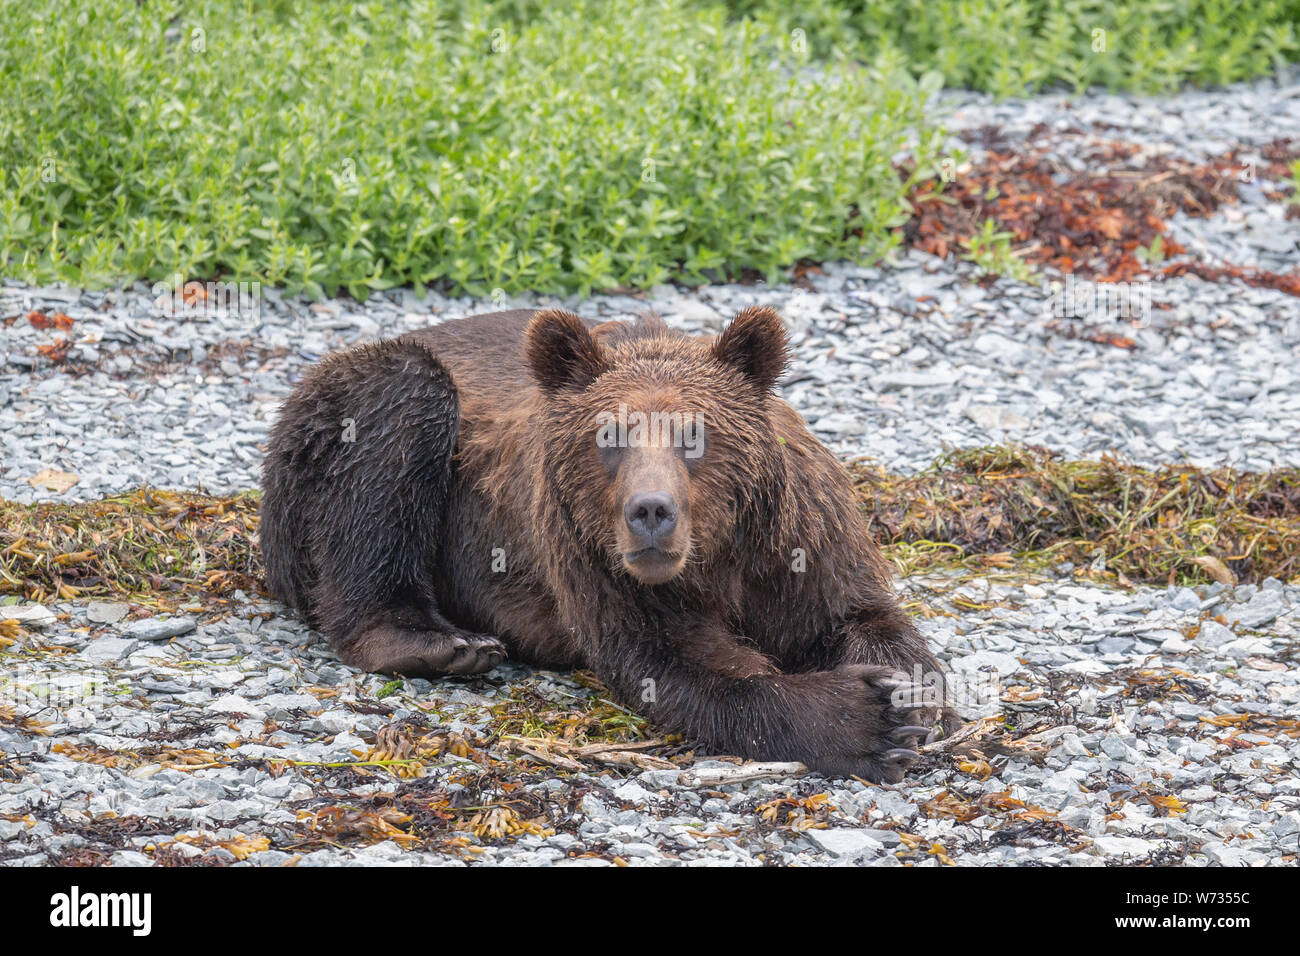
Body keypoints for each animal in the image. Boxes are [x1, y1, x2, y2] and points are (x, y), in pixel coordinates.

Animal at [260, 306, 952, 782]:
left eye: (696, 436)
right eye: (609, 435)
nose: (651, 512)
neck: (716, 555)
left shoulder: (799, 542)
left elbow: (862, 615)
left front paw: (913, 700)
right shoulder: (589, 554)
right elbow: (676, 662)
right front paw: (866, 719)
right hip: (334, 433)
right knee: (401, 410)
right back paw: (439, 642)